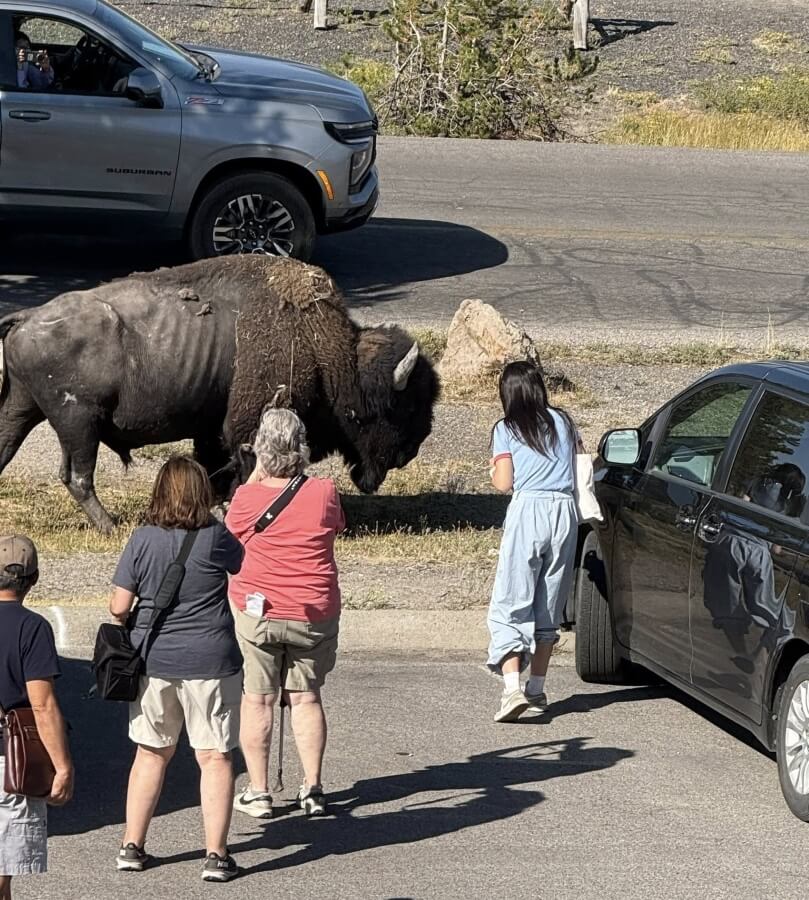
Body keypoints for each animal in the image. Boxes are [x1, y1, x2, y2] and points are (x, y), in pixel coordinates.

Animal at [0, 256, 439, 532]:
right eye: (402, 406)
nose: (410, 452)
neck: (327, 351)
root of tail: (26, 317)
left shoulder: (212, 428)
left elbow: (213, 466)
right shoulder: (248, 425)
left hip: (25, 410)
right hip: (79, 422)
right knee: (78, 476)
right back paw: (111, 526)